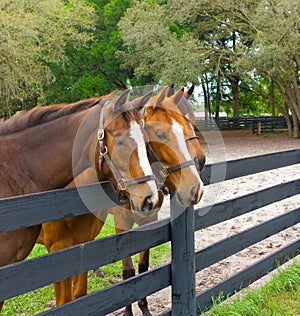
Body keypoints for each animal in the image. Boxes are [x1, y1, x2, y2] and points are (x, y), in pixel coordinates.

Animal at [35, 84, 204, 314]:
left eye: (191, 123)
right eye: (161, 134)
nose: (199, 160)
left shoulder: (148, 220)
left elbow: (143, 267)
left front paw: (144, 308)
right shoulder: (121, 224)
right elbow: (128, 272)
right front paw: (127, 311)